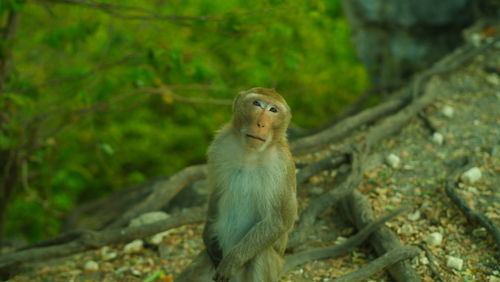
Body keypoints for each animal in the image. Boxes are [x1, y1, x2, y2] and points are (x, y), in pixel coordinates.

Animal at [177, 87, 296, 280]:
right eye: (257, 104)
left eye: (273, 110)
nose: (261, 124)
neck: (249, 152)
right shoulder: (221, 144)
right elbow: (217, 192)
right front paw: (208, 238)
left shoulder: (281, 165)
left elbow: (278, 220)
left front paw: (232, 261)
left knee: (262, 253)